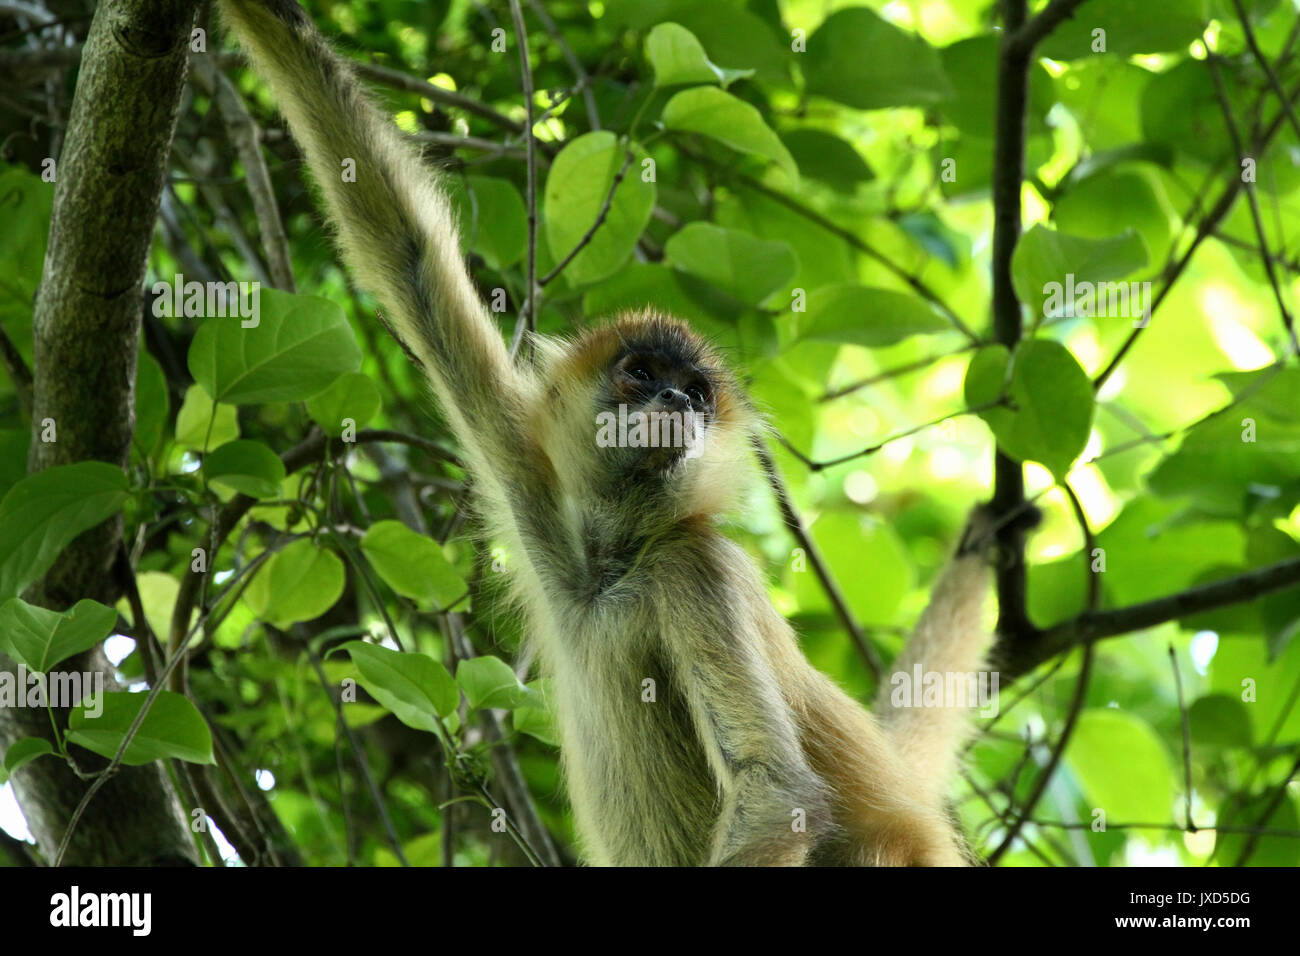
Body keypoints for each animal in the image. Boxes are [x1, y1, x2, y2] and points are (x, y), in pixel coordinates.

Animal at [220, 0, 993, 868]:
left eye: (696, 393)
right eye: (642, 371)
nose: (675, 399)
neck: (614, 565)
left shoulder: (698, 569)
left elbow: (776, 793)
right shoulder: (533, 479)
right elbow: (408, 256)